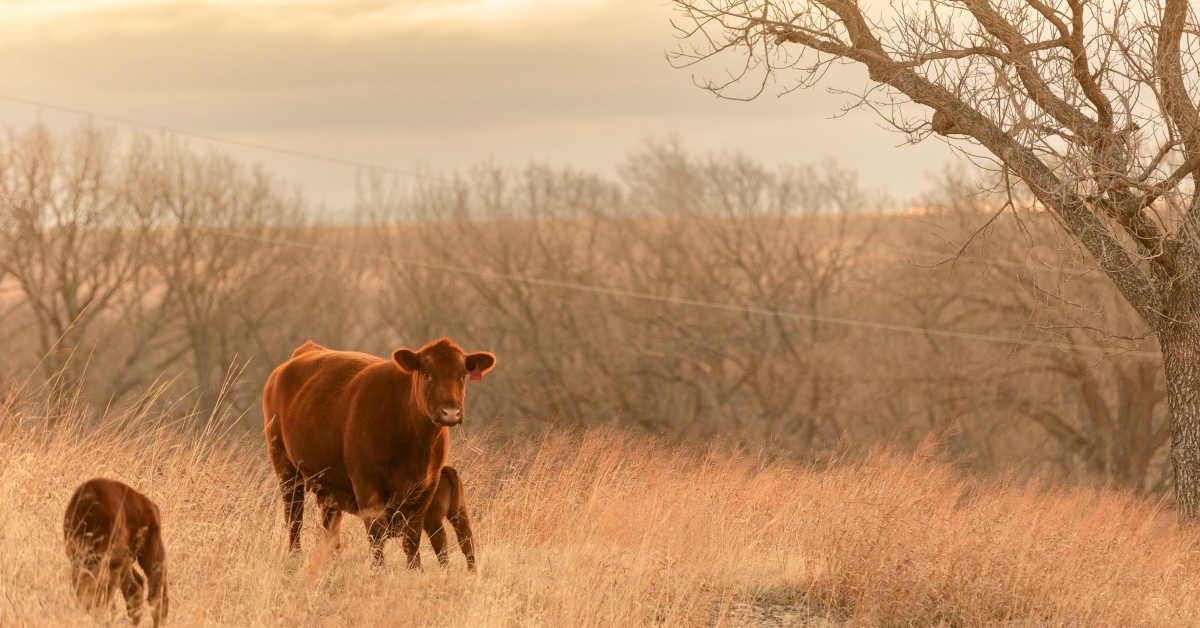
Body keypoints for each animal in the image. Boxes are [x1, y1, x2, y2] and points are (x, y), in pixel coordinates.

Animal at [62, 480, 169, 624]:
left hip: (151, 552)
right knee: (136, 587)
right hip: (127, 561)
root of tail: (151, 506)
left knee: (156, 592)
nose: (89, 607)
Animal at [265, 338, 494, 569]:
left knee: (330, 526)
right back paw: (295, 556)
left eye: (462, 376)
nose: (451, 412)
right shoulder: (366, 484)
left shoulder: (427, 486)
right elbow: (377, 533)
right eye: (427, 374)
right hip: (285, 467)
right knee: (294, 516)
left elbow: (412, 536)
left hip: (327, 485)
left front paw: (415, 570)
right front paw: (379, 571)